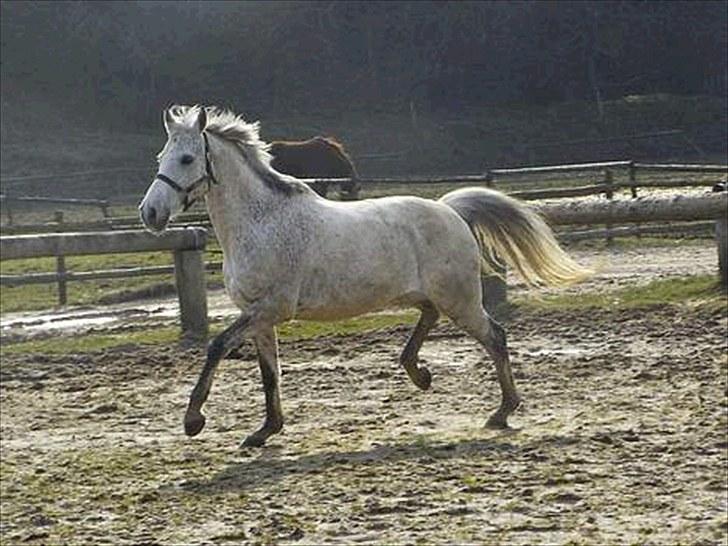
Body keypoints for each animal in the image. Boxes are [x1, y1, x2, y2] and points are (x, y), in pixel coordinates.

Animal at [138, 104, 592, 444]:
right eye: (161, 158)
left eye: (187, 158)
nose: (151, 213)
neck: (262, 221)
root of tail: (449, 209)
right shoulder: (260, 317)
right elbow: (269, 373)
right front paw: (265, 431)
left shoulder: (270, 309)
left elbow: (217, 347)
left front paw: (193, 421)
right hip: (429, 295)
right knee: (430, 318)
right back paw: (419, 373)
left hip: (460, 299)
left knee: (495, 337)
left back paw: (501, 411)